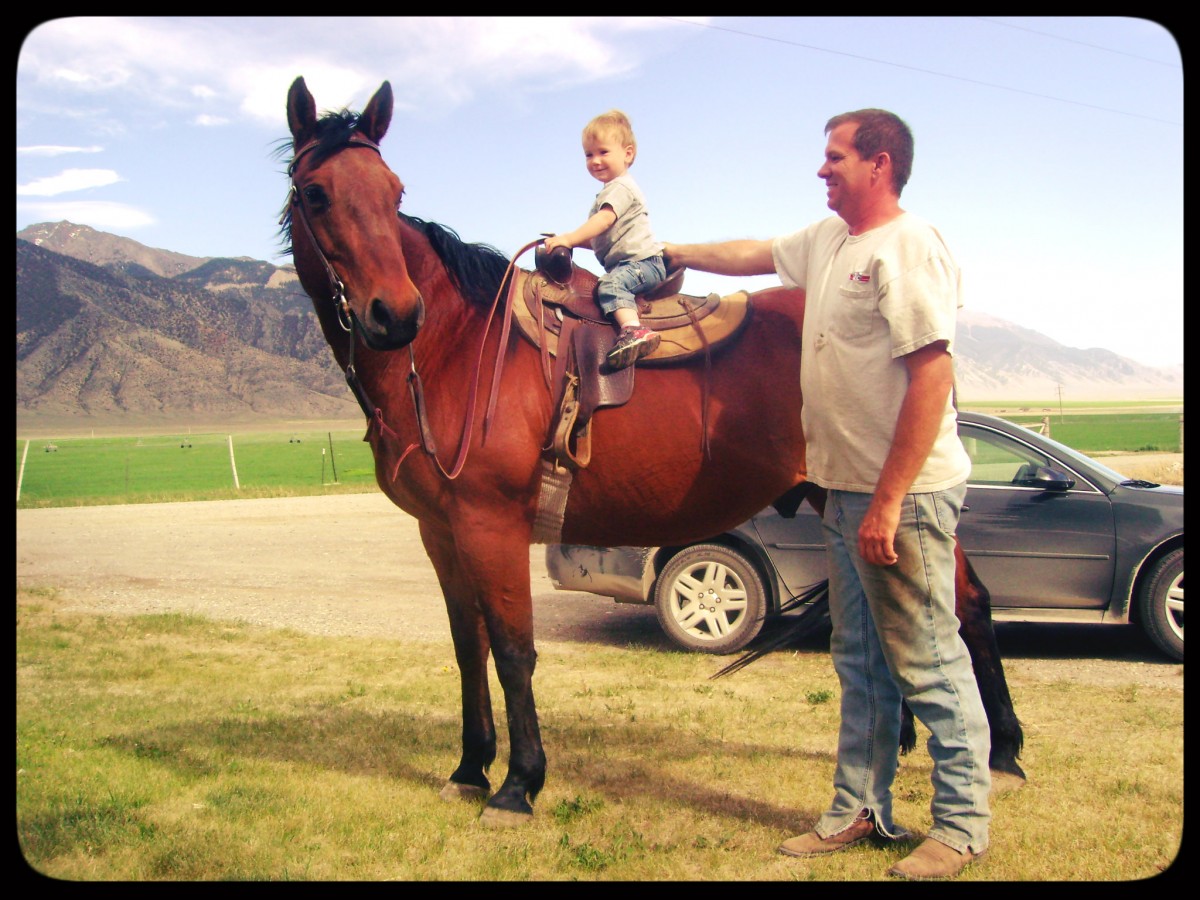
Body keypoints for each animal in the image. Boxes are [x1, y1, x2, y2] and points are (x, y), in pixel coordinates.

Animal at [278, 79, 1022, 830]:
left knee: (967, 605)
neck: (455, 347)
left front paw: (518, 784)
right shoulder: (442, 531)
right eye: (316, 192)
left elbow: (514, 651)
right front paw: (468, 767)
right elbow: (469, 646)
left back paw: (1003, 750)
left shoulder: (492, 526)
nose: (395, 314)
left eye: (393, 190)